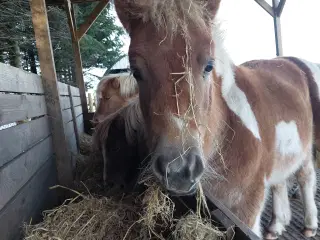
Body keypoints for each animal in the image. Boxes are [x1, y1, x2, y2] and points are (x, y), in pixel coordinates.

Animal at [111, 0, 318, 239]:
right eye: (136, 71)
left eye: (209, 65)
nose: (179, 171)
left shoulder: (247, 209)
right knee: (280, 182)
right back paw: (276, 226)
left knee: (305, 176)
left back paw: (310, 225)